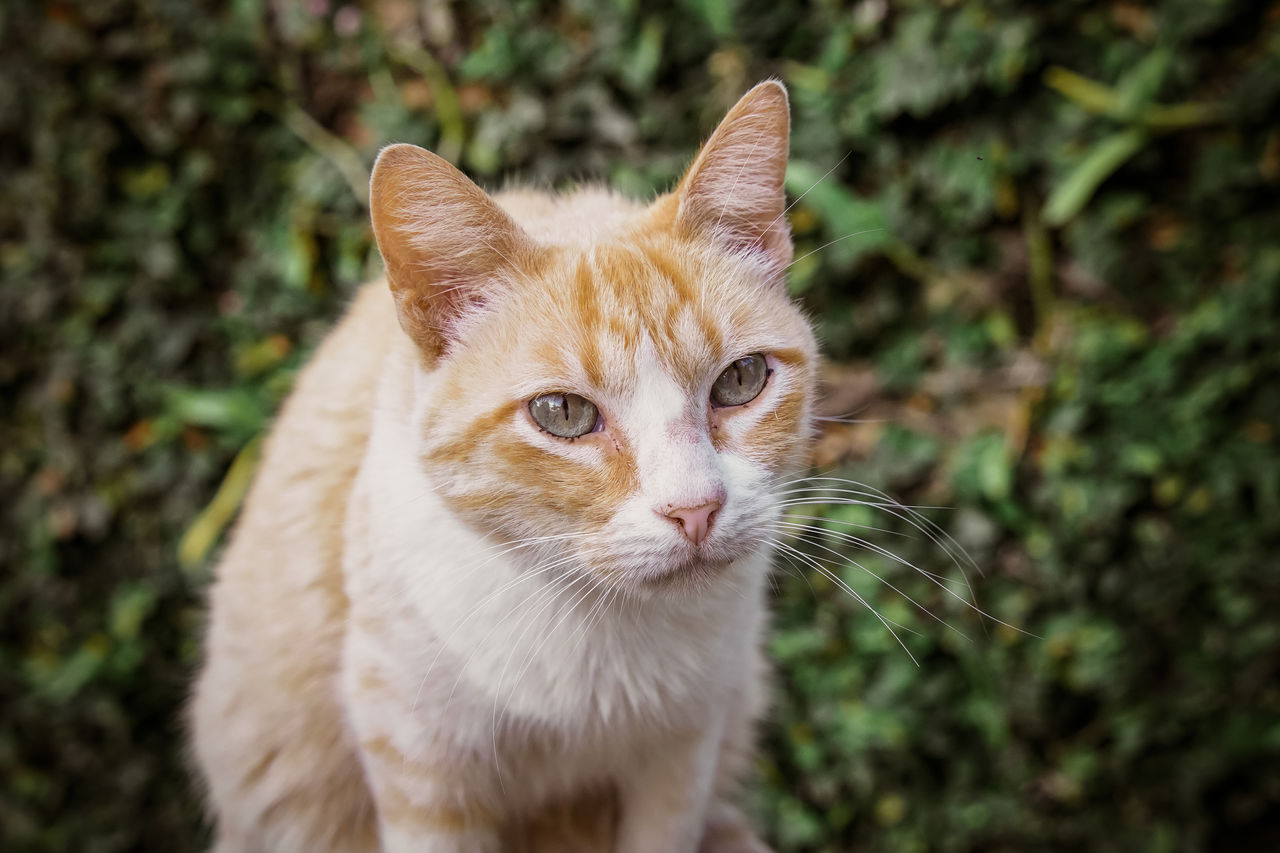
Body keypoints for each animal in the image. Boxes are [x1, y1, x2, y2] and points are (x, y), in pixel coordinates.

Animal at [190, 81, 819, 850]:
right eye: (562, 413)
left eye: (741, 380)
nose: (695, 508)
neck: (598, 630)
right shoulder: (417, 759)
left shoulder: (686, 749)